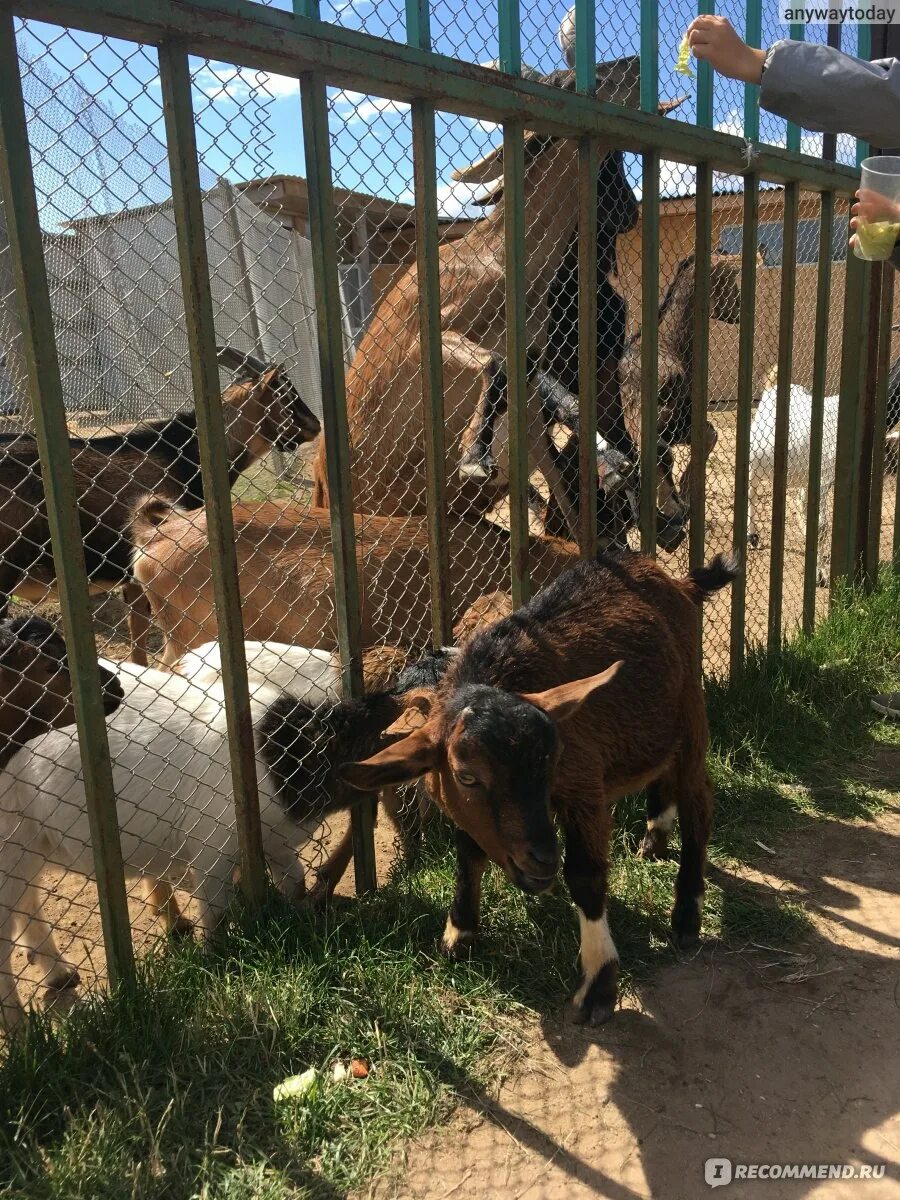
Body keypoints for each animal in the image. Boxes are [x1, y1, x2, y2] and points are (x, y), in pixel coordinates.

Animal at [340, 549, 734, 1022]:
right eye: (467, 776)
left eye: (553, 759)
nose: (544, 859)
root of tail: (676, 582)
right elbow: (469, 852)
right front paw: (459, 934)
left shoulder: (583, 785)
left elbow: (585, 875)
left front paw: (598, 985)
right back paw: (655, 836)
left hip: (691, 715)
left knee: (699, 803)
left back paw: (687, 915)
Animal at [748, 369, 844, 585]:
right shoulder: (823, 479)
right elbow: (822, 526)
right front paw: (821, 574)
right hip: (754, 462)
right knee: (751, 494)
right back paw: (753, 537)